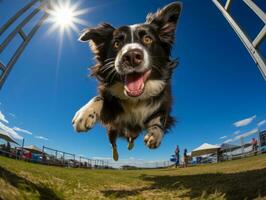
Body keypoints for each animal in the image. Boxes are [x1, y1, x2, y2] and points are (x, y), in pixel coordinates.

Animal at [71, 1, 182, 161]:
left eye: (147, 39)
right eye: (117, 43)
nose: (131, 56)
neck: (136, 98)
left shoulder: (165, 103)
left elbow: (160, 118)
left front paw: (154, 134)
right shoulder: (112, 111)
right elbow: (99, 97)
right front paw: (85, 113)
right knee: (114, 143)